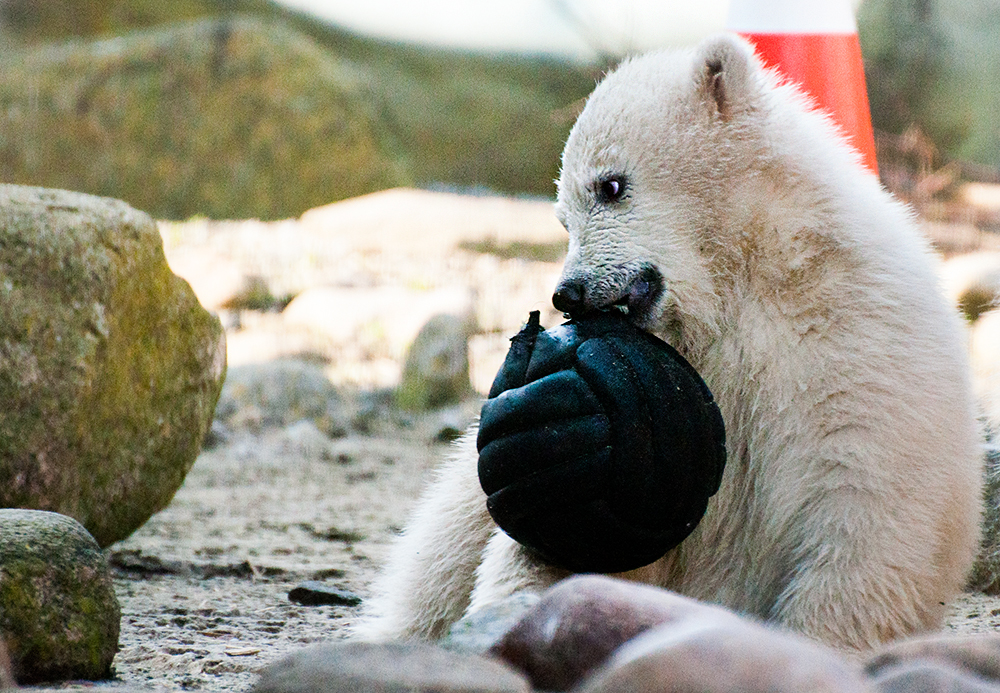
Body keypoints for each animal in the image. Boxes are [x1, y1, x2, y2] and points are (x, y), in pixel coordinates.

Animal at [354, 33, 984, 648]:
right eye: (562, 219)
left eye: (610, 185)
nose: (567, 293)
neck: (744, 272)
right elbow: (551, 529)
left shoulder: (857, 339)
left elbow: (866, 507)